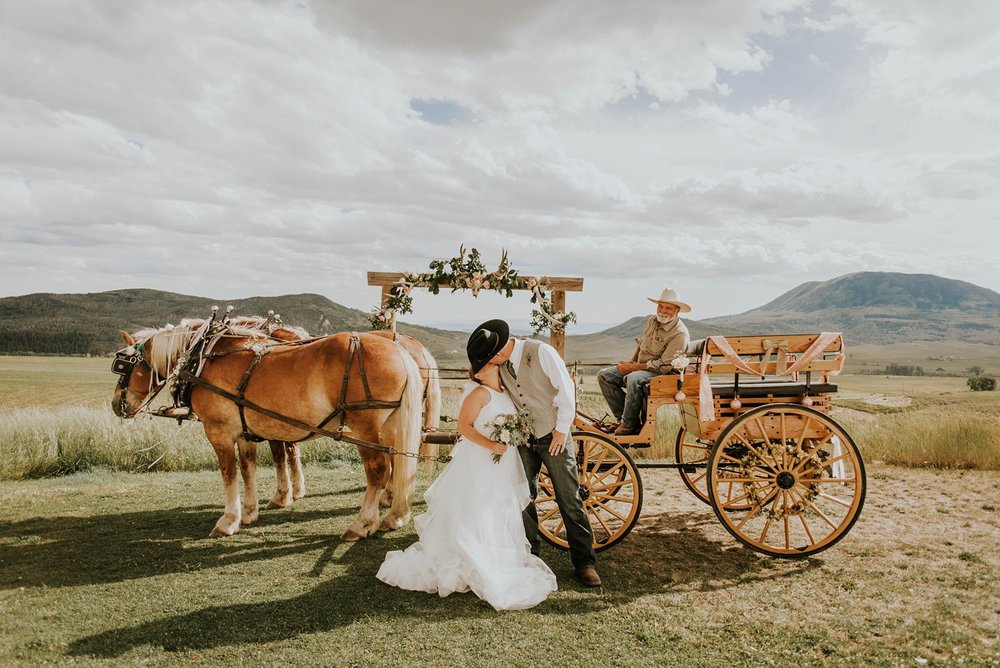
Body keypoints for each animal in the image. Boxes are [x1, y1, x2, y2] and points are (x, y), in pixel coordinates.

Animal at [114, 320, 426, 540]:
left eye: (123, 366)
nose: (118, 404)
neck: (205, 357)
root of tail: (401, 352)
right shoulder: (244, 431)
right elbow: (248, 468)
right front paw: (250, 512)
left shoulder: (219, 432)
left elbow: (229, 474)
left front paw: (228, 520)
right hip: (392, 425)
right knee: (399, 464)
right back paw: (395, 515)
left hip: (365, 427)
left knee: (378, 470)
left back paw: (362, 524)